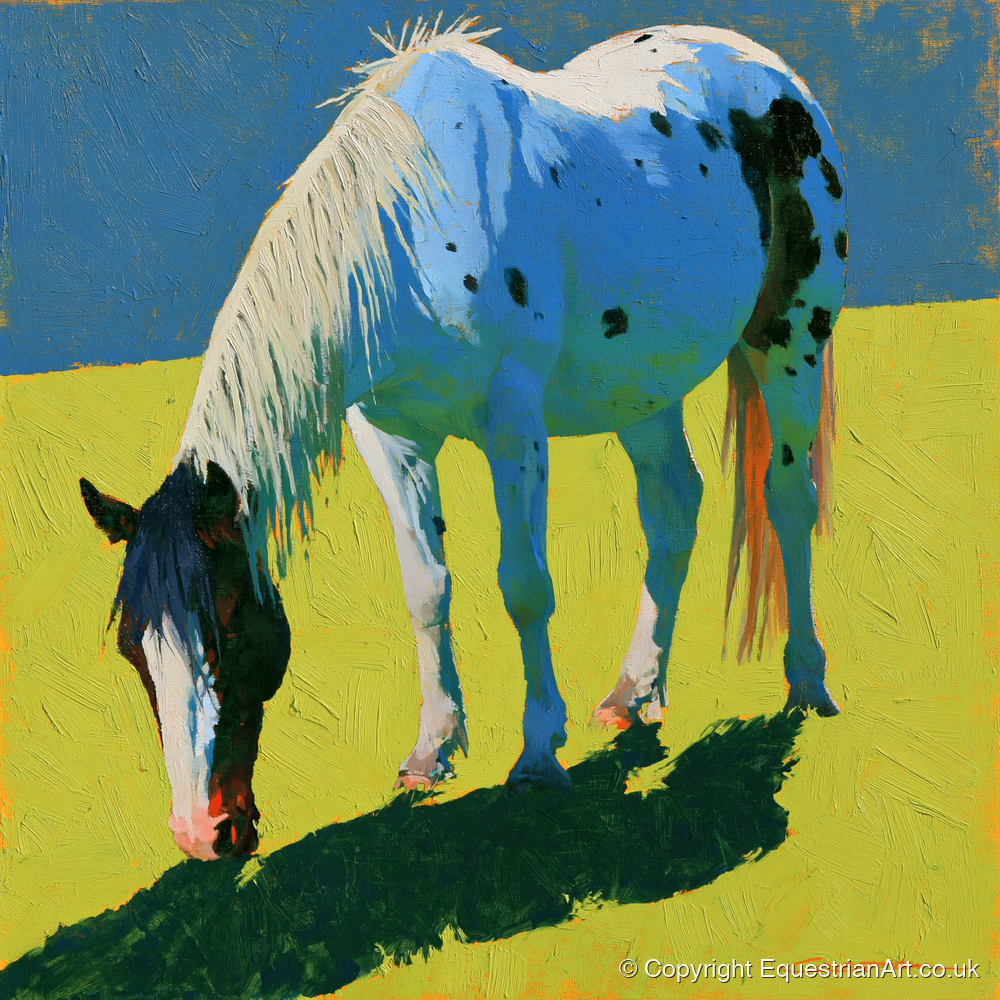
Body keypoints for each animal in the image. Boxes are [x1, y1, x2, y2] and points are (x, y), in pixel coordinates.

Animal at [81, 16, 846, 861]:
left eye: (225, 630)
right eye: (134, 652)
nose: (201, 834)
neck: (413, 227)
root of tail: (766, 67)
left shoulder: (513, 419)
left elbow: (525, 586)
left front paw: (539, 755)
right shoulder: (392, 434)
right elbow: (426, 589)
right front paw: (432, 751)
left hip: (793, 340)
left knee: (789, 501)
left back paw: (806, 681)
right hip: (645, 384)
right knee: (674, 511)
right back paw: (633, 694)